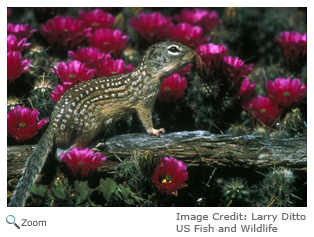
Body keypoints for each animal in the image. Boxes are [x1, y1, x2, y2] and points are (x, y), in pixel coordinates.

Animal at [8, 41, 196, 206]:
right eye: (173, 49)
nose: (194, 54)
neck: (147, 74)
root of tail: (54, 125)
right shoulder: (144, 101)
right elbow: (145, 118)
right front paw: (155, 130)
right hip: (88, 126)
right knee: (67, 151)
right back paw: (93, 146)